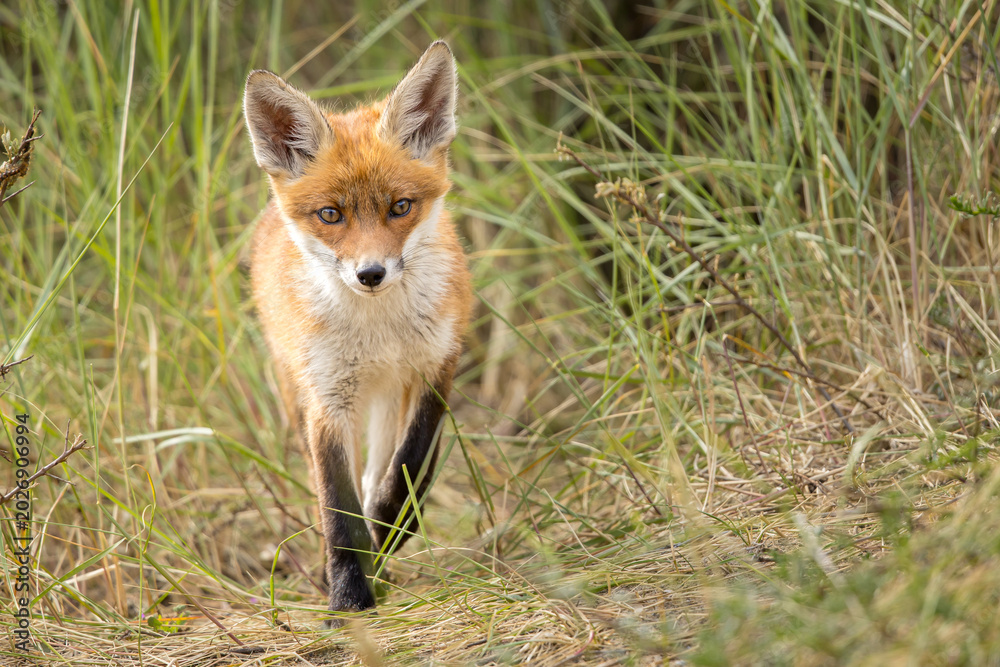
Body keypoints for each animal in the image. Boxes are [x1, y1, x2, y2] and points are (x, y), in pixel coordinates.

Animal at [243, 41, 472, 619]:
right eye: (331, 215)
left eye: (400, 207)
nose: (371, 274)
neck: (378, 334)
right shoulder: (328, 397)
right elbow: (337, 508)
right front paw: (348, 596)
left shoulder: (437, 366)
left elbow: (409, 466)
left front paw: (389, 529)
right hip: (296, 390)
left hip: (390, 395)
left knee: (379, 469)